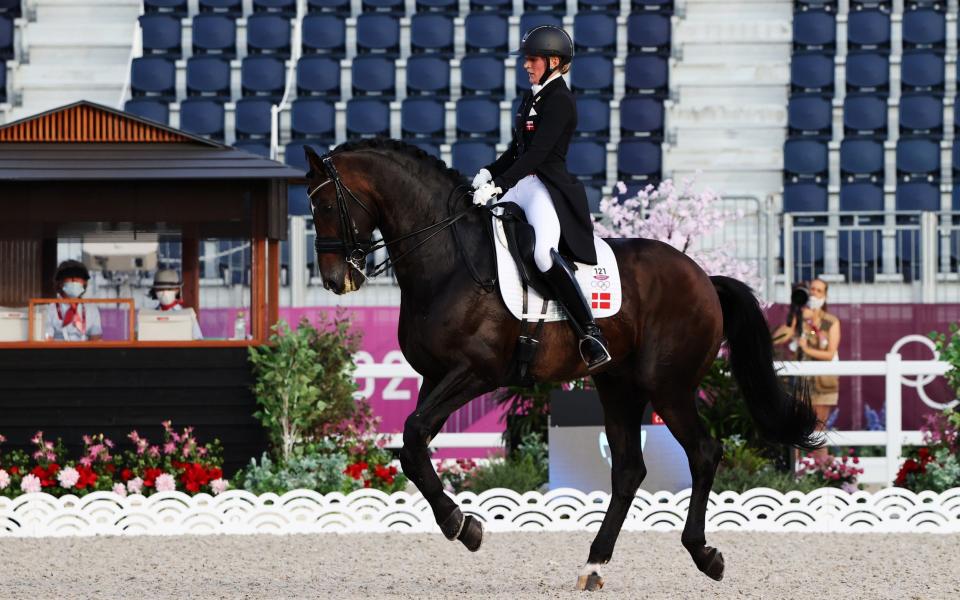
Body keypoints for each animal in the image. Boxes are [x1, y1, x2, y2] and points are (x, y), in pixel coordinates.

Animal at [304, 138, 812, 588]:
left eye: (326, 205)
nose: (335, 280)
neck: (447, 260)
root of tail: (703, 276)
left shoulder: (476, 373)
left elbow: (412, 436)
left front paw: (460, 524)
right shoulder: (435, 376)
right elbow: (413, 447)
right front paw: (463, 524)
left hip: (667, 387)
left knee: (703, 452)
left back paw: (704, 554)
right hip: (618, 385)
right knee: (629, 469)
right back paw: (594, 564)